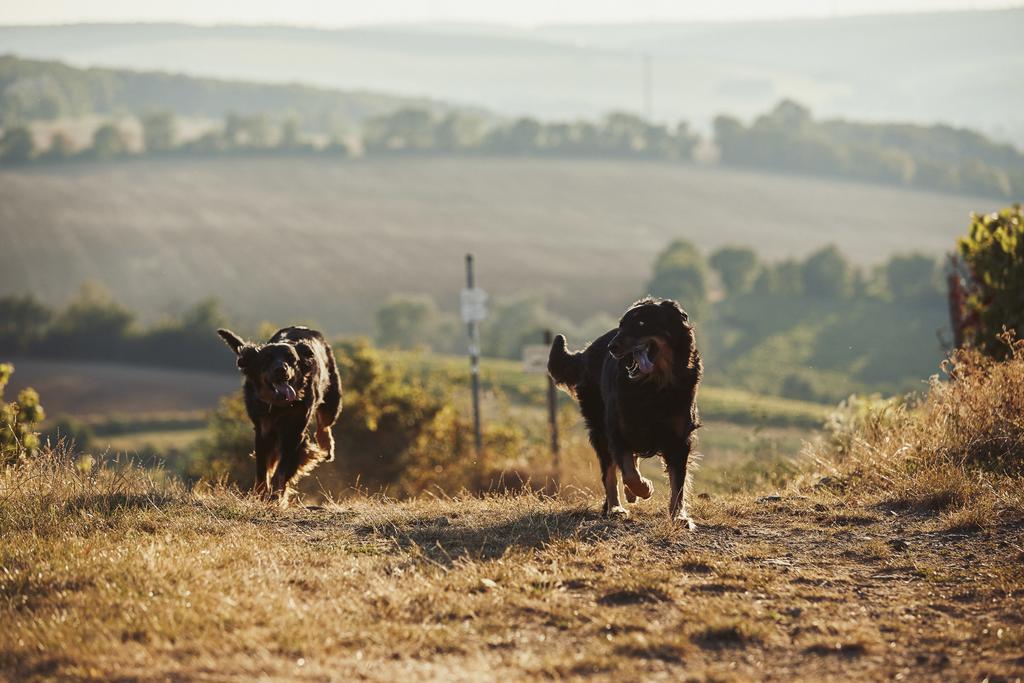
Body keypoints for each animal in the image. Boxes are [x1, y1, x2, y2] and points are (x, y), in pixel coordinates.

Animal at [216, 325, 344, 507]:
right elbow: (263, 470)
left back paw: (326, 446)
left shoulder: (294, 432)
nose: (281, 369)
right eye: (267, 359)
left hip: (332, 398)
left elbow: (282, 470)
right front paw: (260, 496)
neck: (279, 405)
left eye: (291, 359)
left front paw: (276, 496)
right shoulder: (263, 431)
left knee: (324, 424)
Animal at [548, 296, 700, 528]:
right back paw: (615, 507)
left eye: (641, 324)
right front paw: (644, 488)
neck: (653, 387)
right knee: (610, 472)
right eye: (621, 325)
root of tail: (587, 351)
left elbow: (678, 481)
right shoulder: (617, 430)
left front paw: (678, 516)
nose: (612, 347)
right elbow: (629, 472)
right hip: (599, 428)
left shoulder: (679, 438)